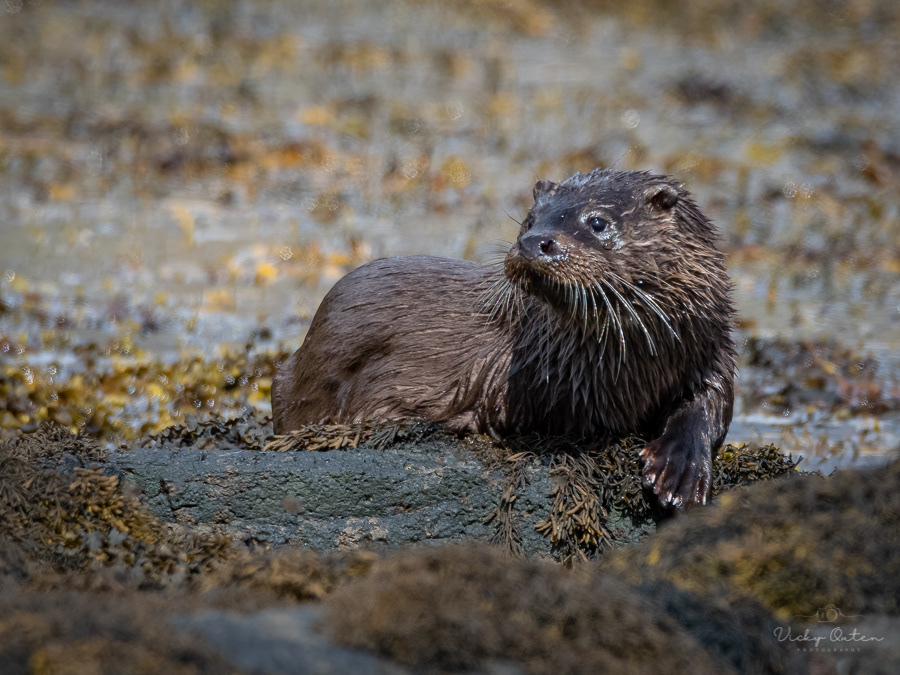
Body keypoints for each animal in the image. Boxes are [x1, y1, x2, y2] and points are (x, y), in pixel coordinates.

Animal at [272, 169, 736, 508]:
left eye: (597, 222)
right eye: (529, 220)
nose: (534, 242)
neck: (640, 358)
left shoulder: (711, 348)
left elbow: (712, 404)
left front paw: (680, 466)